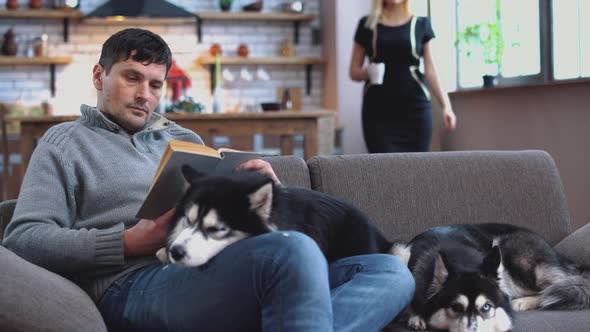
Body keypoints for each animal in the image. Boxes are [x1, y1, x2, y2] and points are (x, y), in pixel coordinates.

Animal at [394, 223, 590, 332]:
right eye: (456, 307)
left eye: (487, 307)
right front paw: (415, 316)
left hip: (512, 253)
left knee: (557, 285)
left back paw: (524, 301)